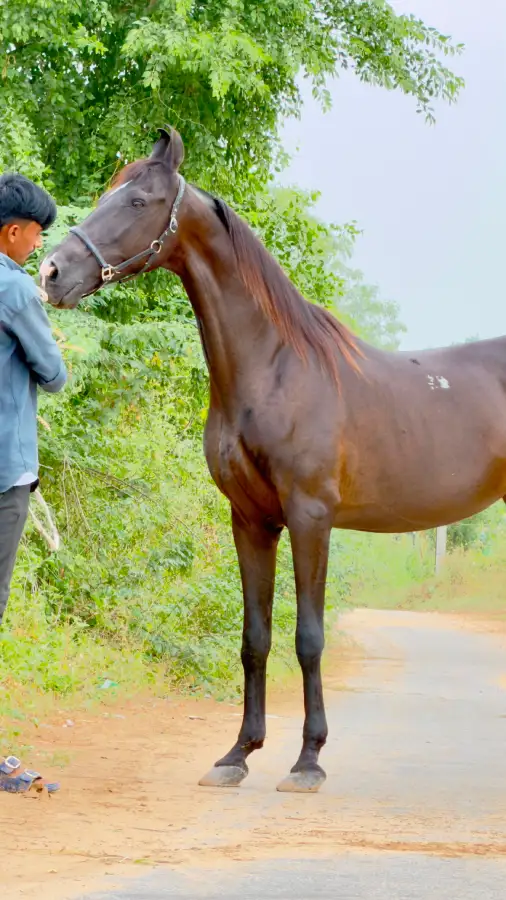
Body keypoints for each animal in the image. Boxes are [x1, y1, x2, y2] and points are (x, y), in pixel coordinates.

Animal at [42, 127, 506, 793]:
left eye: (137, 202)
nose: (52, 273)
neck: (276, 368)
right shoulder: (251, 519)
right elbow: (254, 637)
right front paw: (239, 753)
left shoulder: (310, 517)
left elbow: (308, 637)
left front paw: (308, 760)